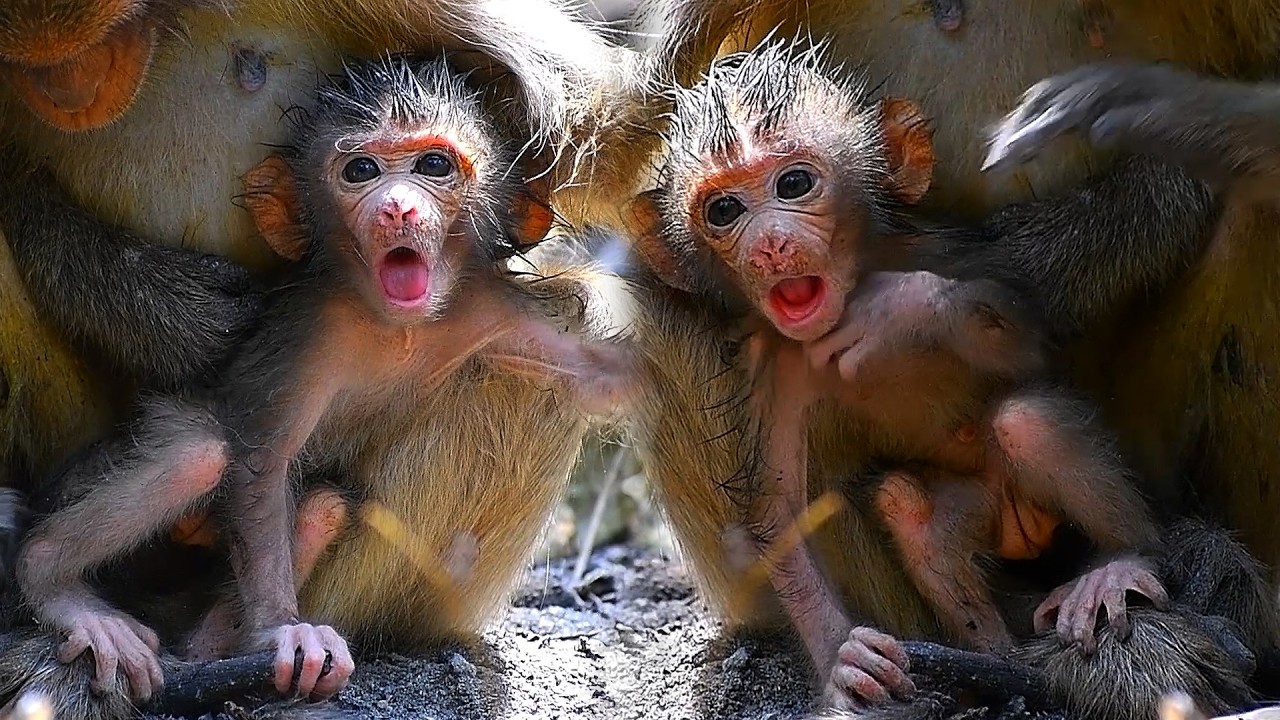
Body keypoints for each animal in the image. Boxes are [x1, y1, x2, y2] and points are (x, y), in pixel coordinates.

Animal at [6, 53, 638, 714]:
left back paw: (213, 648)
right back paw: (58, 584)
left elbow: (605, 382)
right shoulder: (315, 334)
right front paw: (283, 630)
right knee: (197, 455)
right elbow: (262, 463)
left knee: (323, 507)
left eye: (434, 166)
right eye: (360, 171)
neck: (399, 328)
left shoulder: (492, 311)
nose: (397, 209)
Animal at [625, 37, 1171, 708]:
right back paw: (993, 660)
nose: (770, 245)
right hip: (976, 510)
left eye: (795, 183)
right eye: (724, 210)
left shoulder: (945, 252)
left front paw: (898, 308)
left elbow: (1030, 343)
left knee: (1027, 421)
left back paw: (1122, 562)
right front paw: (842, 655)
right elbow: (780, 505)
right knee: (909, 512)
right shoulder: (777, 363)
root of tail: (1024, 528)